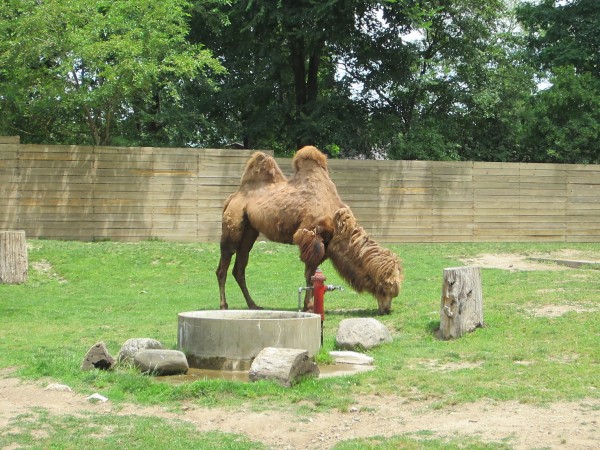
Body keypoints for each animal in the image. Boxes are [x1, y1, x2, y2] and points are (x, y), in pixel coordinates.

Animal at [216, 146, 404, 314]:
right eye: (386, 287)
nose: (387, 310)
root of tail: (233, 197)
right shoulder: (311, 238)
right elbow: (309, 275)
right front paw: (309, 307)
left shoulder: (326, 244)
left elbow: (313, 275)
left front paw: (311, 304)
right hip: (233, 226)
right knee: (223, 265)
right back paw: (224, 305)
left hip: (250, 231)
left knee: (239, 268)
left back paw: (253, 305)